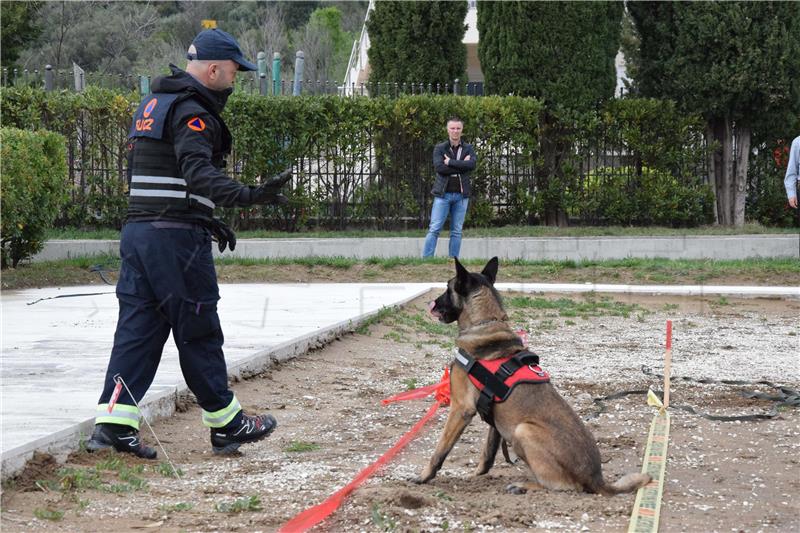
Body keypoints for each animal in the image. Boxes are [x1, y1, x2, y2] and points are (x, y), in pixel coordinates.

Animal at [418, 258, 648, 494]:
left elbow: (440, 449)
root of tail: (597, 480)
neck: (486, 322)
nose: (432, 304)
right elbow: (488, 452)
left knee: (561, 485)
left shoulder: (461, 409)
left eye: (448, 288)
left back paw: (524, 485)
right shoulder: (493, 416)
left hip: (523, 430)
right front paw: (477, 475)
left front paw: (424, 476)